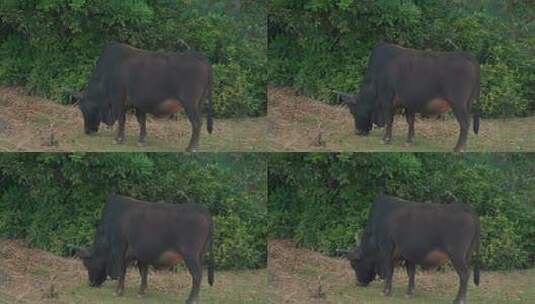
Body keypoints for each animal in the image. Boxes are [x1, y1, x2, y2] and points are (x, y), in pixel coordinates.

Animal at [70, 195, 215, 304]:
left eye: (87, 264)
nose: (91, 283)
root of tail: (203, 209)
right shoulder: (141, 254)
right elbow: (143, 272)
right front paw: (141, 292)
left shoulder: (119, 249)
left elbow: (122, 271)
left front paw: (118, 291)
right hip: (200, 255)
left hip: (190, 255)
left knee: (197, 275)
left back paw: (191, 300)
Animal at [73, 42, 214, 151]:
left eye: (83, 108)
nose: (87, 131)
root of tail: (200, 57)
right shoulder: (138, 103)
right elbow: (141, 120)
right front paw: (142, 140)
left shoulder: (118, 99)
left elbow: (122, 119)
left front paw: (118, 139)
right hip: (199, 103)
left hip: (190, 103)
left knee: (197, 123)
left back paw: (191, 148)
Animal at [340, 42, 482, 152]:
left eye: (353, 111)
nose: (358, 132)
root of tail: (467, 56)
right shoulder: (409, 103)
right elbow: (411, 121)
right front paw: (410, 140)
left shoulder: (387, 100)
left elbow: (389, 120)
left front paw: (386, 139)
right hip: (467, 103)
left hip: (458, 104)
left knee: (465, 123)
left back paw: (459, 148)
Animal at [348, 195, 482, 304]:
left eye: (354, 264)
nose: (358, 283)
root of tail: (466, 208)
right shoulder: (408, 254)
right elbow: (411, 272)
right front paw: (409, 293)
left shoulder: (386, 250)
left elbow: (389, 272)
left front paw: (385, 291)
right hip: (467, 255)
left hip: (456, 255)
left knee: (464, 274)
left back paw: (459, 300)